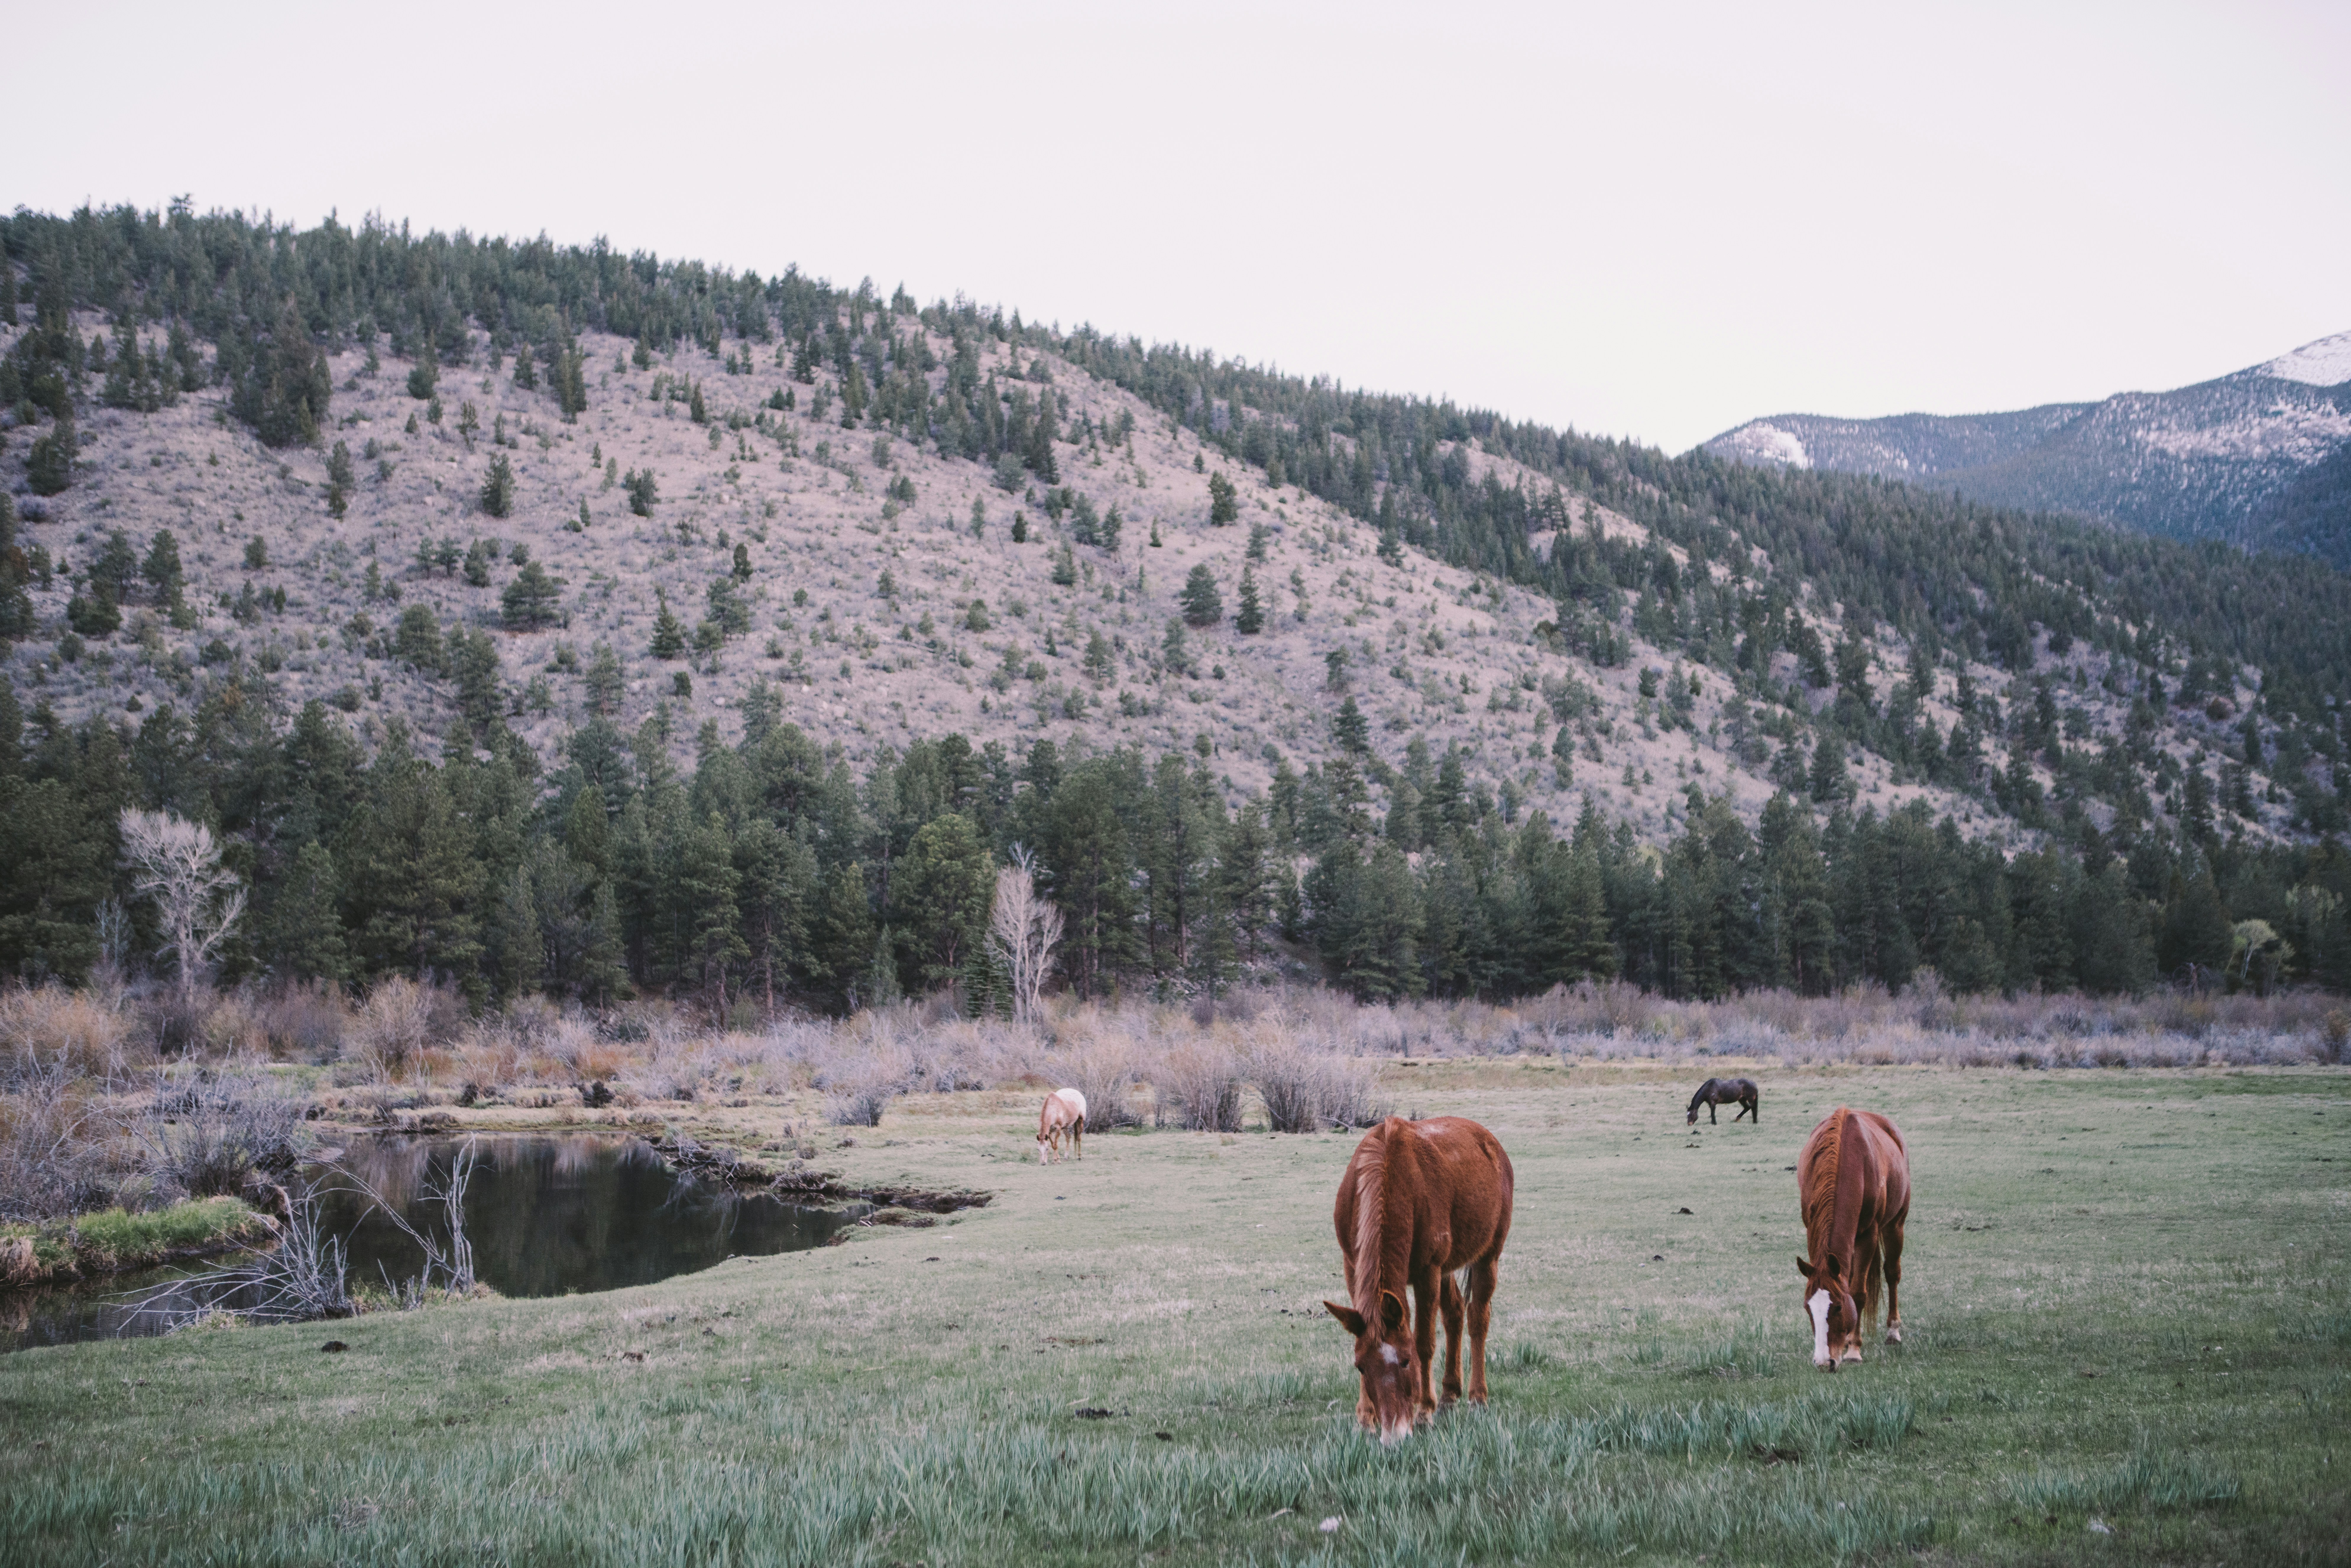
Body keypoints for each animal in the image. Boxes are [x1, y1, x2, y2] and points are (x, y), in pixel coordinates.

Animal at [1035, 1087, 1087, 1164]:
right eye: (1038, 1149)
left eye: (1047, 1149)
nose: (1043, 1164)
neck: (1053, 1109)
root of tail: (1079, 1093)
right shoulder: (1050, 1132)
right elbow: (1053, 1145)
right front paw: (1055, 1160)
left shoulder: (1058, 1129)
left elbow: (1055, 1145)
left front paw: (1057, 1160)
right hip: (1065, 1126)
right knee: (1068, 1137)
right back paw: (1066, 1157)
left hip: (1080, 1120)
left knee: (1079, 1138)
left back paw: (1079, 1157)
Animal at [1322, 1116, 1514, 1444]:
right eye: (1360, 1367)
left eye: (1405, 1361)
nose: (1393, 1437)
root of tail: (1490, 1142)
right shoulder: (1352, 1266)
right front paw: (1365, 1419)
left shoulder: (1428, 1271)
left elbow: (1424, 1342)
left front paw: (1424, 1412)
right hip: (1448, 1267)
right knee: (1455, 1314)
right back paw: (1450, 1396)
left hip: (1487, 1257)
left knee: (1478, 1319)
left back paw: (1477, 1398)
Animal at [1687, 1076, 1759, 1126]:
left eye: (1691, 1115)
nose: (1689, 1124)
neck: (1710, 1088)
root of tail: (1754, 1084)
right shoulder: (1710, 1104)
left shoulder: (1713, 1103)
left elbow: (1713, 1113)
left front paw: (1714, 1123)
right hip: (1742, 1100)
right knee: (1747, 1108)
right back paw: (1737, 1119)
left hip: (1751, 1099)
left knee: (1754, 1109)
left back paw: (1755, 1122)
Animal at [1794, 1106, 1910, 1370]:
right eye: (1808, 1308)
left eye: (1838, 1307)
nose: (1824, 1362)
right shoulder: (1812, 1229)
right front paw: (1848, 1343)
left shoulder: (1869, 1234)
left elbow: (1857, 1293)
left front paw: (1854, 1350)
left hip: (1895, 1226)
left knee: (1892, 1273)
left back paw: (1893, 1331)